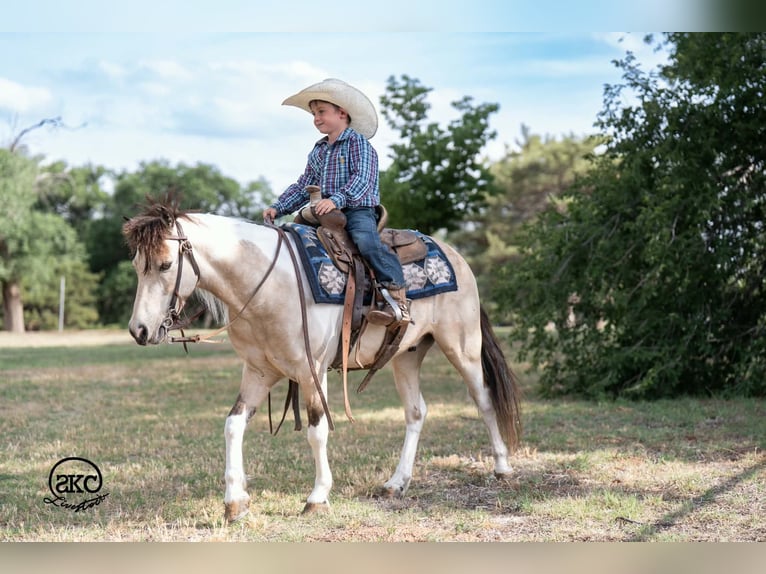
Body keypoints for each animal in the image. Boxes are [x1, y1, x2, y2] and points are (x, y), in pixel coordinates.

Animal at [123, 195, 522, 522]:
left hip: (462, 346)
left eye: (165, 264)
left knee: (484, 399)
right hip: (406, 354)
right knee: (416, 412)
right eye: (137, 265)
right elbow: (233, 425)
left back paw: (502, 468)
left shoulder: (312, 371)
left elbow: (317, 431)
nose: (139, 330)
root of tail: (455, 255)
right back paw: (396, 483)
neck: (269, 285)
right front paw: (235, 502)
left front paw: (317, 497)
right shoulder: (258, 372)